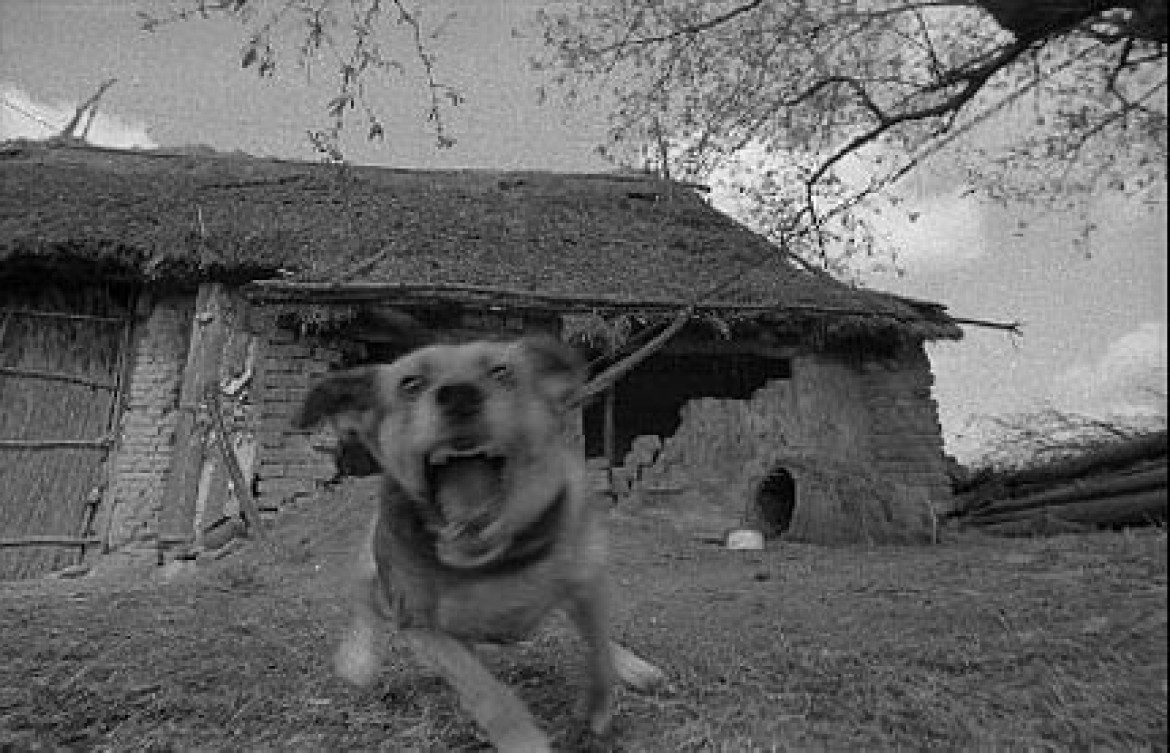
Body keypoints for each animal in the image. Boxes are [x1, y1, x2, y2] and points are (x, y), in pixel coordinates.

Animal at [294, 339, 659, 748]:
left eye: (501, 371)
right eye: (410, 383)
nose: (459, 395)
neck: (491, 558)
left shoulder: (587, 578)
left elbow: (597, 647)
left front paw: (601, 698)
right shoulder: (423, 626)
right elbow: (486, 693)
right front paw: (524, 742)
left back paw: (632, 666)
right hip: (372, 569)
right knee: (364, 603)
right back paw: (358, 660)